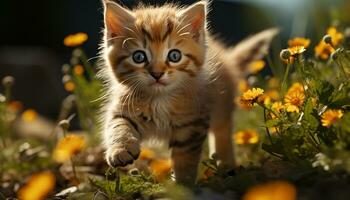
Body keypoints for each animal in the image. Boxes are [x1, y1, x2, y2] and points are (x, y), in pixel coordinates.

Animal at [100, 0, 278, 184]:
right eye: (139, 57)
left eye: (174, 56)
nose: (157, 74)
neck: (159, 99)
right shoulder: (123, 109)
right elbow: (118, 126)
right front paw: (120, 150)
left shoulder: (192, 124)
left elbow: (185, 157)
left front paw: (182, 183)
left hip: (222, 107)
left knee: (222, 132)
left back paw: (226, 165)